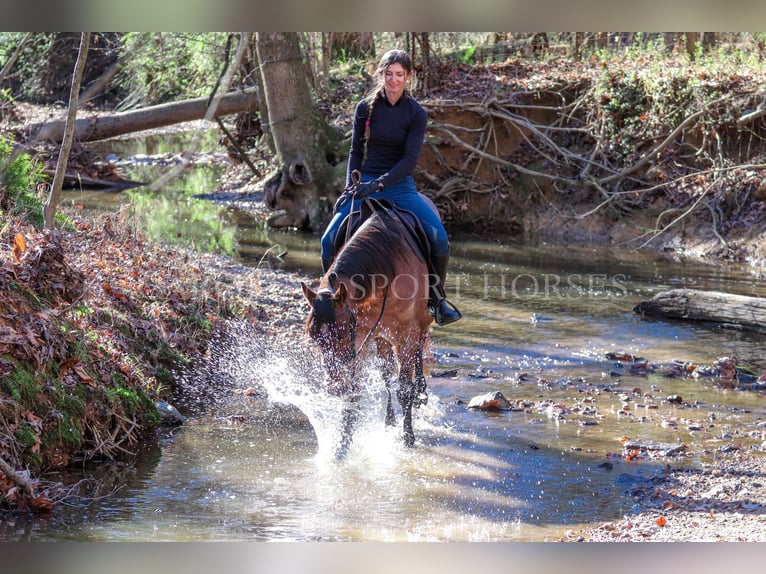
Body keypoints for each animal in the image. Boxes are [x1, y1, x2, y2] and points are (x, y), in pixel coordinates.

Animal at [302, 202, 436, 460]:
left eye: (342, 333)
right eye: (314, 337)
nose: (334, 387)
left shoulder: (405, 335)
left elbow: (405, 389)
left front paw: (408, 437)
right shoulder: (362, 341)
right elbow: (354, 394)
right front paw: (342, 446)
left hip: (418, 327)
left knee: (417, 355)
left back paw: (421, 395)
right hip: (382, 338)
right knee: (385, 373)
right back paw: (390, 420)